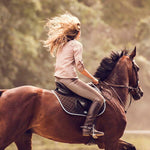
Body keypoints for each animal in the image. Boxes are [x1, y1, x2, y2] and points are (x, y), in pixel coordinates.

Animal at [0, 47, 143, 149]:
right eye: (137, 68)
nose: (140, 93)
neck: (112, 93)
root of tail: (6, 91)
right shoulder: (111, 140)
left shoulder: (109, 141)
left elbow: (132, 147)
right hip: (9, 133)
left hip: (22, 136)